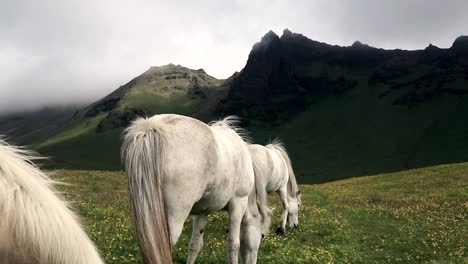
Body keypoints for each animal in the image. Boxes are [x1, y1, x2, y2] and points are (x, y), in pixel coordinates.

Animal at [121, 114, 270, 264]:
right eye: (262, 236)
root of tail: (153, 127)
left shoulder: (202, 211)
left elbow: (195, 245)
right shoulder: (238, 203)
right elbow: (233, 244)